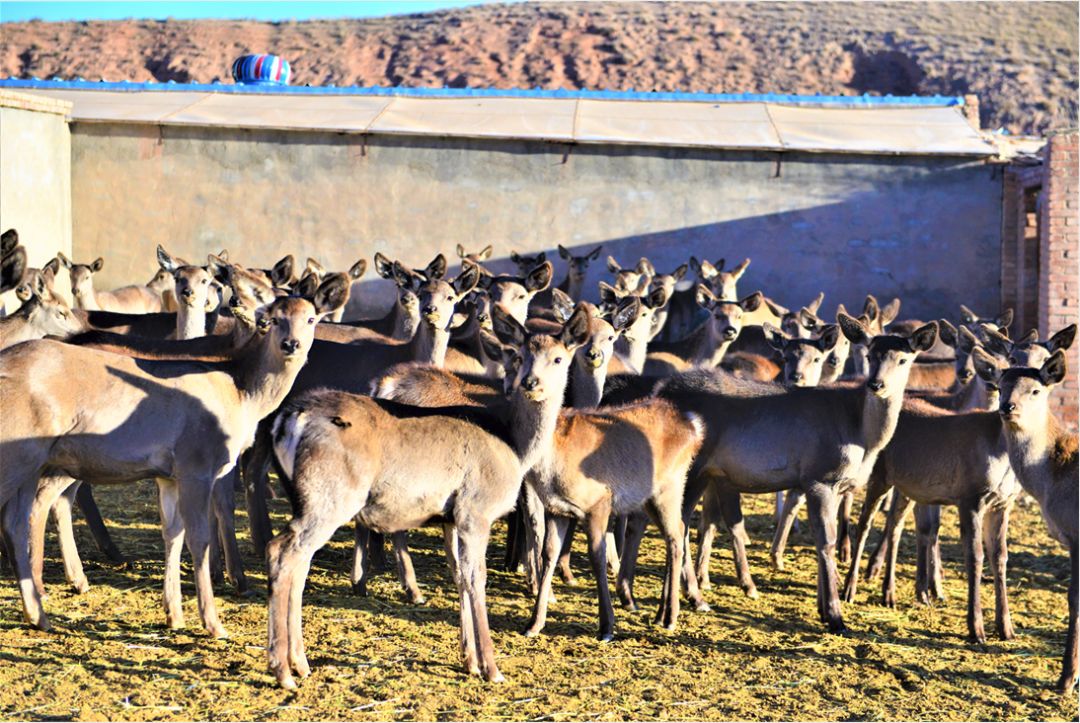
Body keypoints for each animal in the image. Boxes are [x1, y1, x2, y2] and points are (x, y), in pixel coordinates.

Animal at [266, 302, 596, 687]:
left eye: (559, 358)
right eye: (520, 355)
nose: (531, 383)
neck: (515, 447)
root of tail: (291, 418)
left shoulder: (451, 517)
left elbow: (459, 575)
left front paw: (469, 660)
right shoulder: (475, 509)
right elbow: (476, 577)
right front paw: (492, 668)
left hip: (304, 496)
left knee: (292, 557)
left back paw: (300, 663)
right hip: (330, 495)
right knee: (285, 552)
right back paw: (283, 670)